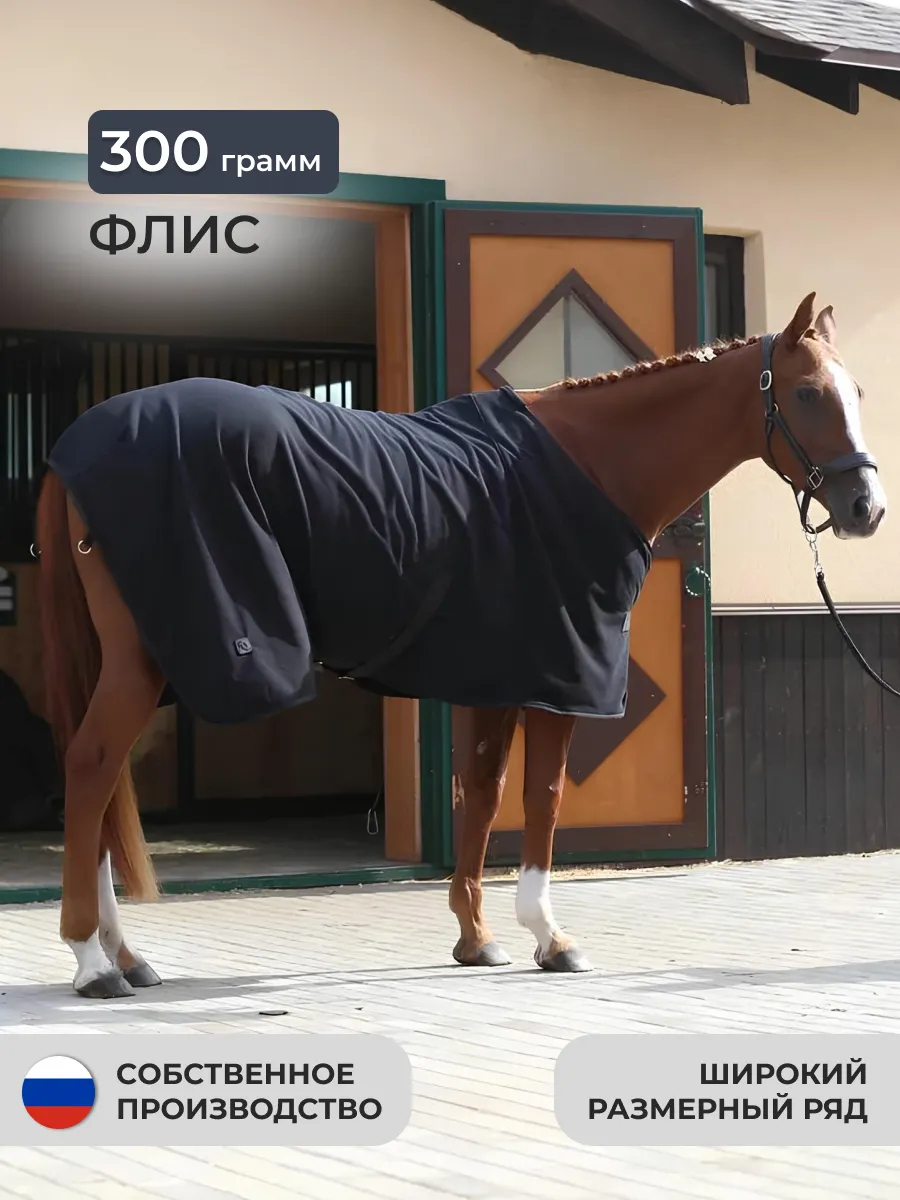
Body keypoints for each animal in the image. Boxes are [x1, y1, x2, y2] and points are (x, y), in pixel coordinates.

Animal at [32, 292, 885, 999]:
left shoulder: (497, 677)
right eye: (808, 394)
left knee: (105, 787)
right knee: (91, 767)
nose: (865, 507)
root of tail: (77, 443)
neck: (590, 465)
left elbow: (481, 793)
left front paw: (476, 938)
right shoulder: (561, 674)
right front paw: (550, 936)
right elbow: (542, 798)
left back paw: (128, 955)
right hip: (150, 660)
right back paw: (91, 961)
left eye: (857, 394)